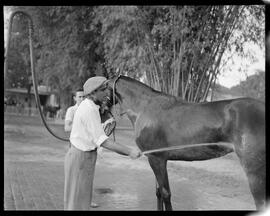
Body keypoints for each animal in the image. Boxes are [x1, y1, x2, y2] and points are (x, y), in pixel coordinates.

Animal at [104, 75, 264, 210]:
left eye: (102, 87)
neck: (145, 109)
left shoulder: (157, 159)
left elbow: (165, 193)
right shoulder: (155, 158)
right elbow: (158, 193)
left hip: (254, 171)